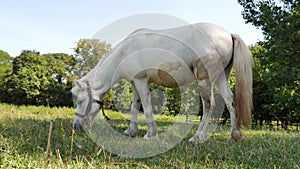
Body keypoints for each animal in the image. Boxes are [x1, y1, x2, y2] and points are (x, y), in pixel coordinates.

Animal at [72, 22, 253, 143]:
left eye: (80, 101)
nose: (76, 127)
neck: (124, 52)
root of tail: (228, 34)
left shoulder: (142, 81)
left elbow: (147, 107)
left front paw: (150, 134)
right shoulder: (136, 82)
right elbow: (135, 106)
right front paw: (131, 131)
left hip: (205, 81)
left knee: (209, 105)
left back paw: (198, 137)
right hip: (221, 77)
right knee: (230, 101)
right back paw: (234, 135)